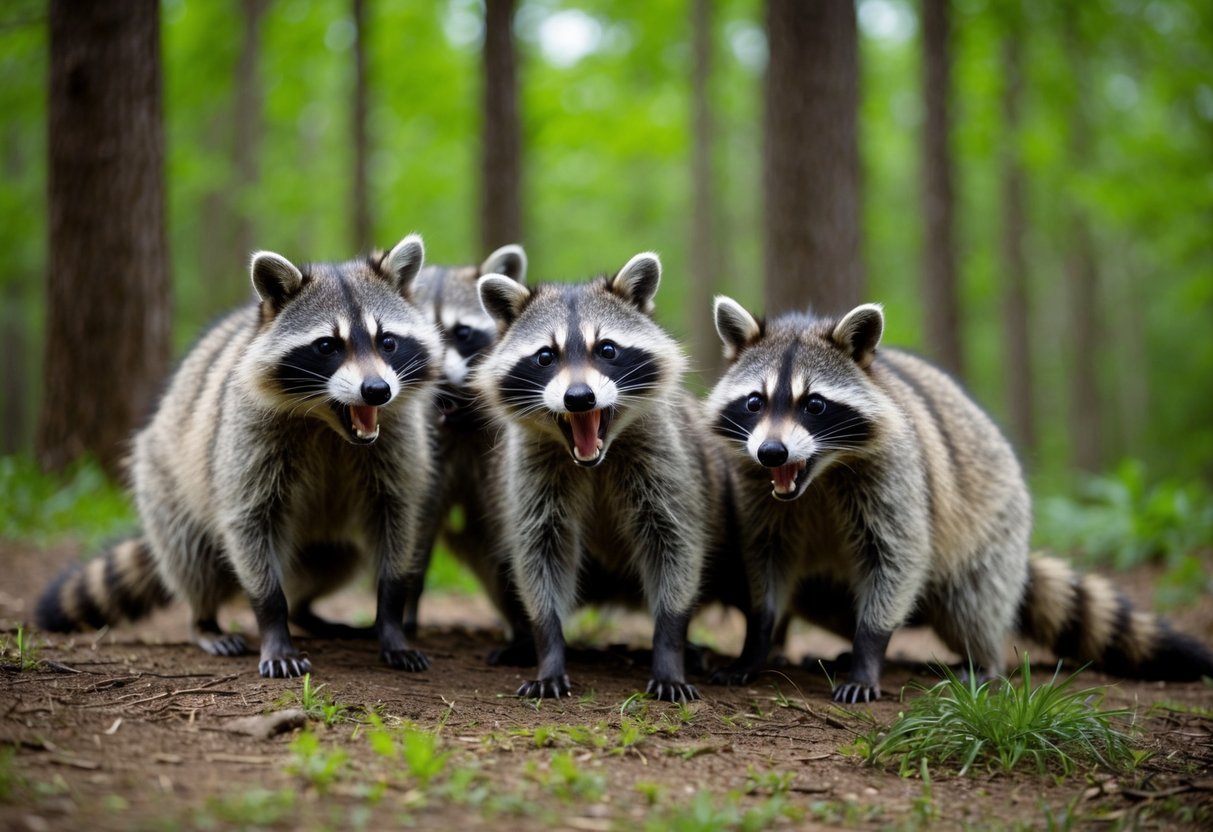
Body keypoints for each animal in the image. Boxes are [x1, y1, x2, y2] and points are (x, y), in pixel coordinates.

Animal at [35, 235, 442, 678]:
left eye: (387, 341)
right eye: (327, 346)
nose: (377, 391)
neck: (328, 425)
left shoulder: (397, 442)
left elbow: (396, 521)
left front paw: (391, 621)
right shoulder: (246, 441)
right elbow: (249, 524)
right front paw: (273, 622)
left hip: (329, 536)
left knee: (337, 558)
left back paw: (306, 612)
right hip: (164, 479)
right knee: (192, 557)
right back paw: (205, 620)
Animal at [472, 253, 716, 702]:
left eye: (607, 350)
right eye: (545, 356)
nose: (579, 398)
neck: (592, 461)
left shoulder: (664, 460)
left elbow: (675, 545)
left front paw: (670, 645)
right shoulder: (534, 472)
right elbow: (539, 552)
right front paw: (548, 646)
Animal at [707, 297, 1213, 702]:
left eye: (814, 404)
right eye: (755, 402)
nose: (772, 452)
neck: (819, 475)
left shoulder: (896, 476)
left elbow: (900, 556)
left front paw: (869, 648)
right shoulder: (758, 489)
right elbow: (766, 561)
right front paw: (757, 639)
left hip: (996, 522)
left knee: (971, 602)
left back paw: (981, 658)